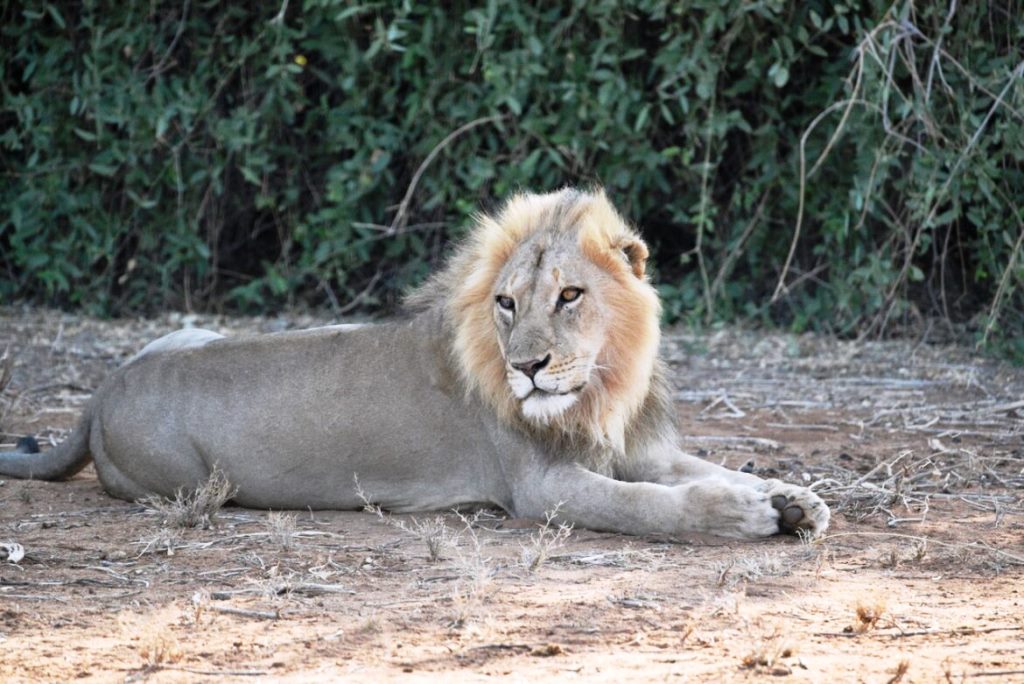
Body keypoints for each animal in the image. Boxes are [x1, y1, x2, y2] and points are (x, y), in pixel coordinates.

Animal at [0, 188, 828, 539]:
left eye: (569, 295)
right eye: (505, 303)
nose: (529, 368)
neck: (601, 386)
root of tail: (102, 391)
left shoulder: (633, 448)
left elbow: (707, 467)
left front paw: (795, 499)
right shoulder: (542, 487)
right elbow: (653, 505)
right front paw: (739, 516)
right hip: (190, 481)